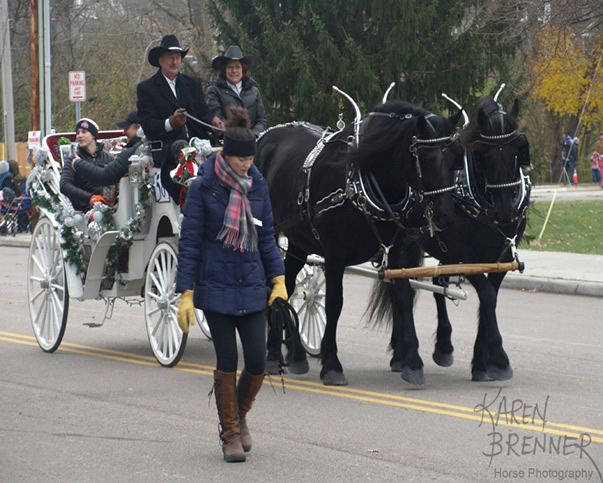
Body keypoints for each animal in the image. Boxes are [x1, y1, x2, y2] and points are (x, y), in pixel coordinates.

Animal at [258, 101, 464, 386]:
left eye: (456, 158)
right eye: (426, 159)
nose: (445, 216)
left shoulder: (397, 253)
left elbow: (403, 298)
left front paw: (412, 362)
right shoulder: (334, 255)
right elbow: (334, 303)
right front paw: (331, 365)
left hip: (299, 241)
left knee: (284, 285)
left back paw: (289, 354)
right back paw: (274, 355)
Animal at [370, 96, 532, 386]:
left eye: (518, 150)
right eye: (483, 156)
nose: (505, 212)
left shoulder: (500, 258)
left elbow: (490, 299)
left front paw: (482, 362)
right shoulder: (467, 256)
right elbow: (487, 297)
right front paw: (498, 358)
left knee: (432, 285)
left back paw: (435, 348)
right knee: (400, 291)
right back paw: (404, 356)